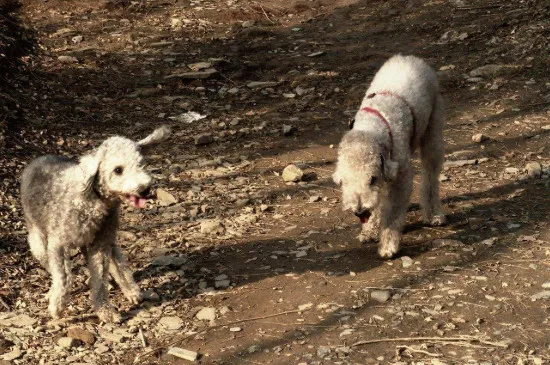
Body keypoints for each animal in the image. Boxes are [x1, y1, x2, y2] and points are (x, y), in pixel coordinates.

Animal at [20, 126, 170, 322]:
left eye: (142, 164)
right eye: (118, 170)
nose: (145, 189)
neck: (94, 200)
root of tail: (37, 159)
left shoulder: (100, 244)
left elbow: (100, 280)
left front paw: (105, 311)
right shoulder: (58, 243)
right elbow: (64, 277)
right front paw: (57, 306)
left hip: (102, 239)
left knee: (119, 262)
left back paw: (131, 290)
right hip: (38, 240)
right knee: (49, 264)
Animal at [334, 54, 446, 258]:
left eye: (371, 178)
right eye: (345, 181)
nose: (359, 212)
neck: (373, 126)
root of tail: (408, 57)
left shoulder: (400, 177)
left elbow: (393, 212)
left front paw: (388, 245)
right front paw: (369, 231)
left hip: (433, 129)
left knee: (431, 175)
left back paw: (434, 214)